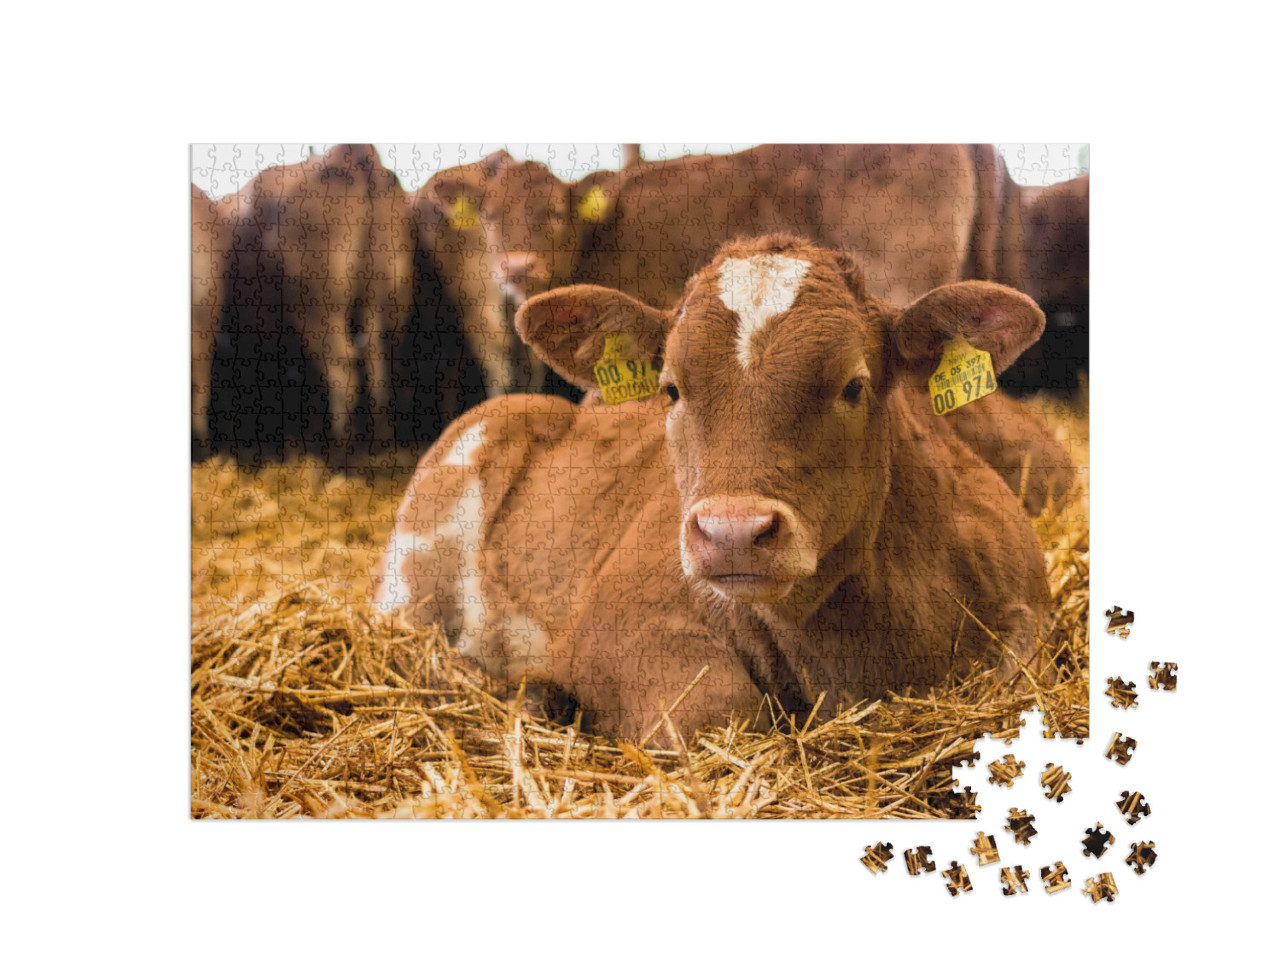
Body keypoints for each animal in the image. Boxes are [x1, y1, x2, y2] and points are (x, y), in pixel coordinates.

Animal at [373, 236, 1054, 742]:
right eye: (671, 388)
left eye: (854, 385)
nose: (732, 534)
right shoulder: (614, 625)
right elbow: (718, 711)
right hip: (412, 575)